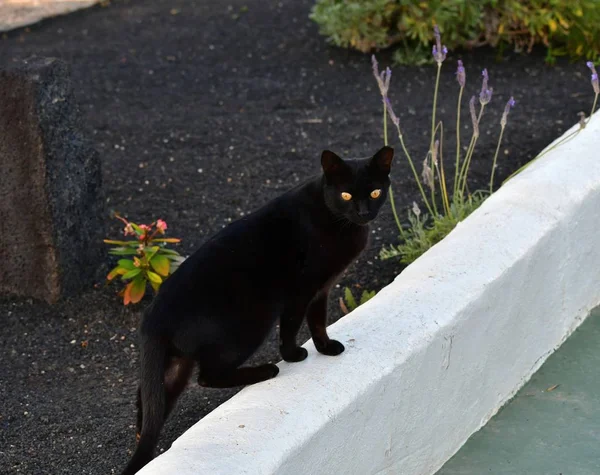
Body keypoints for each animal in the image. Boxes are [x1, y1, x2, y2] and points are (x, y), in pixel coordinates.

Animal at [122, 147, 394, 474]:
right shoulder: (301, 290)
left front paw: (326, 348)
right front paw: (293, 355)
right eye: (345, 195)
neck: (338, 220)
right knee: (207, 376)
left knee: (149, 400)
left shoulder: (323, 288)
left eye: (375, 192)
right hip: (251, 325)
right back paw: (266, 370)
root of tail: (153, 315)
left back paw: (148, 450)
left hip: (178, 362)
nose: (364, 212)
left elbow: (318, 320)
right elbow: (292, 325)